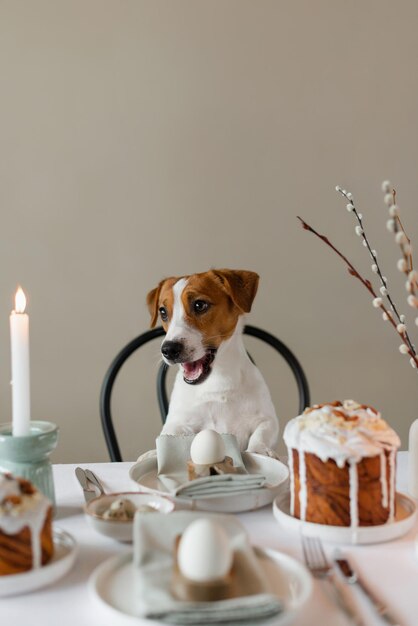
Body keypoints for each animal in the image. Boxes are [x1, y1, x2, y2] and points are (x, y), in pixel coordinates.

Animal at [147, 266, 280, 454]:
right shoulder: (177, 423)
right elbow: (170, 435)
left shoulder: (267, 420)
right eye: (163, 312)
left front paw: (259, 450)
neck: (217, 382)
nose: (168, 350)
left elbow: (260, 436)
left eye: (199, 305)